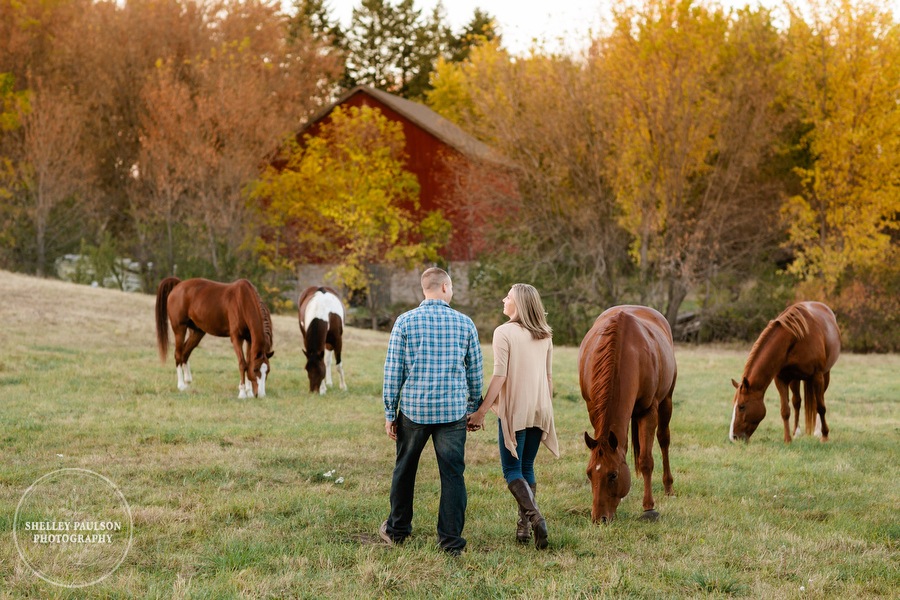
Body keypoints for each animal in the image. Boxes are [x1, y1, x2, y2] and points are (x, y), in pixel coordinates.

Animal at [576, 308, 676, 524]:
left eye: (613, 475)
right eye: (589, 474)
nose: (599, 519)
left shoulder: (648, 410)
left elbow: (646, 460)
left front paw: (648, 508)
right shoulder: (592, 409)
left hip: (667, 401)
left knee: (664, 440)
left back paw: (668, 487)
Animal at [728, 302, 840, 442]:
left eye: (742, 406)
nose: (733, 437)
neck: (797, 337)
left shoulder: (817, 376)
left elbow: (820, 407)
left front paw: (824, 436)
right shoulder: (781, 379)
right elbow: (785, 410)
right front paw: (787, 439)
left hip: (825, 375)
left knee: (819, 401)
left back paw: (818, 431)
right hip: (795, 379)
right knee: (797, 402)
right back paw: (796, 432)